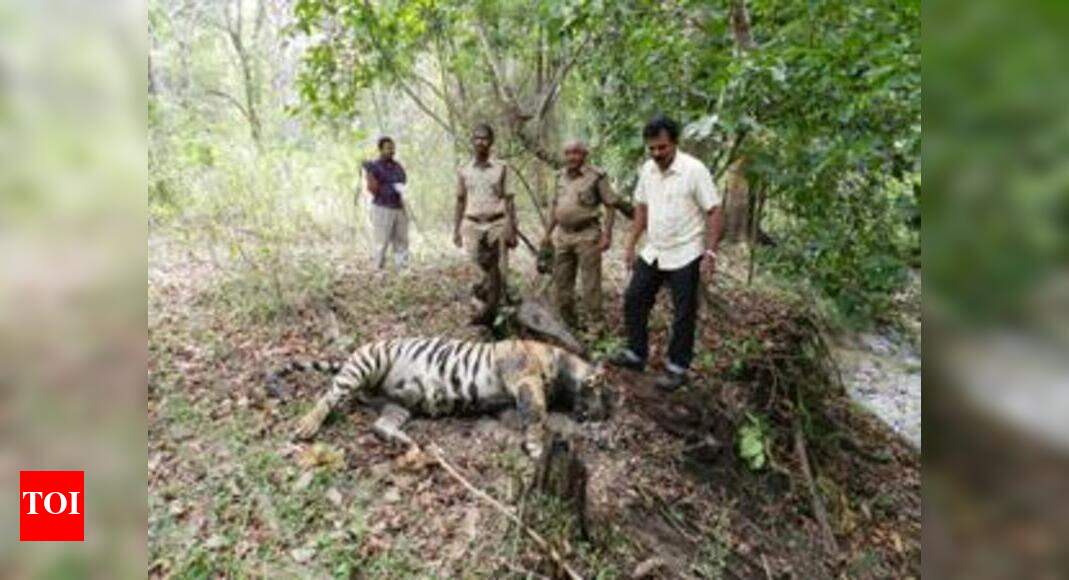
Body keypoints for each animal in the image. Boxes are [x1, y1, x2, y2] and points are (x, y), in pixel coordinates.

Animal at [268, 337, 611, 459]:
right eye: (604, 398)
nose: (603, 415)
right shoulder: (525, 381)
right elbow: (537, 415)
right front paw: (537, 447)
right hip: (367, 363)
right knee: (329, 395)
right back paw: (307, 425)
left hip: (399, 406)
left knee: (379, 425)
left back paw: (404, 442)